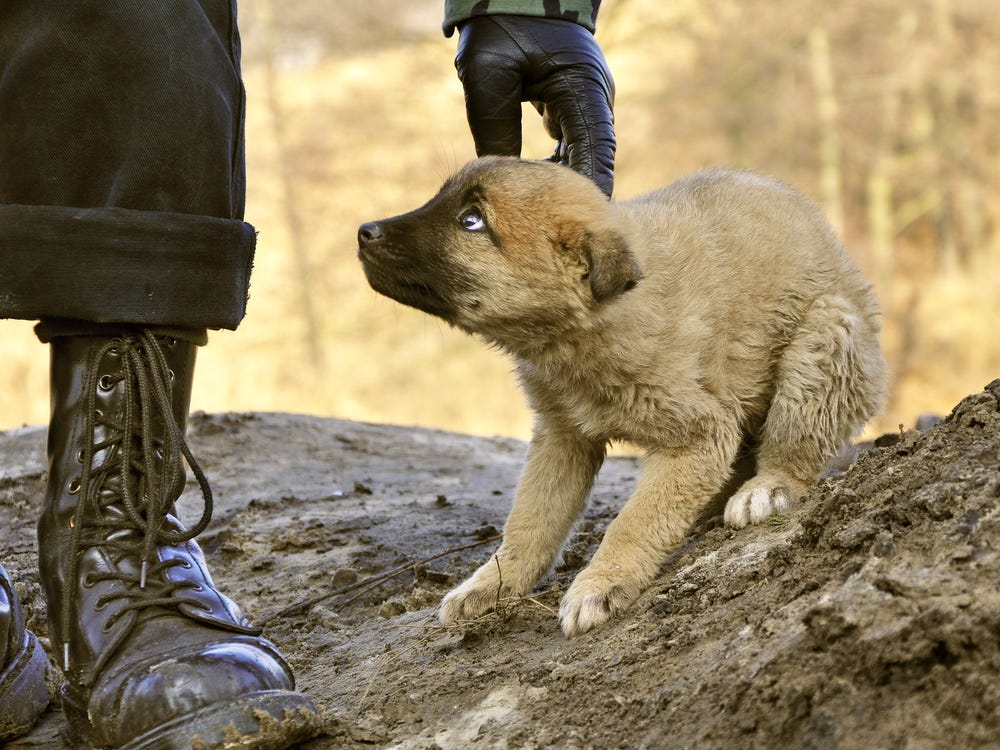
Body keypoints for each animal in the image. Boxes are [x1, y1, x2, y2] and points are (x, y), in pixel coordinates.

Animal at [360, 159, 892, 640]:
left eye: (471, 220)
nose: (364, 231)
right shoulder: (562, 438)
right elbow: (529, 521)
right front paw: (493, 582)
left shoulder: (696, 435)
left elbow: (634, 521)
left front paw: (600, 583)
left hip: (825, 336)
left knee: (794, 447)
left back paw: (765, 488)